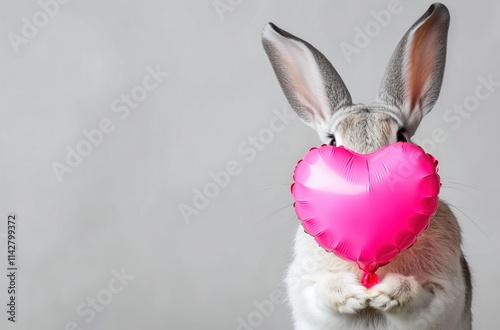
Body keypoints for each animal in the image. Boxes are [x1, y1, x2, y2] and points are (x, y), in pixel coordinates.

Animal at [262, 2, 472, 330]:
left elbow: (425, 297)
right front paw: (354, 296)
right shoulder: (305, 286)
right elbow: (321, 292)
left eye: (401, 136)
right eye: (332, 142)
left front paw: (388, 294)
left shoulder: (446, 291)